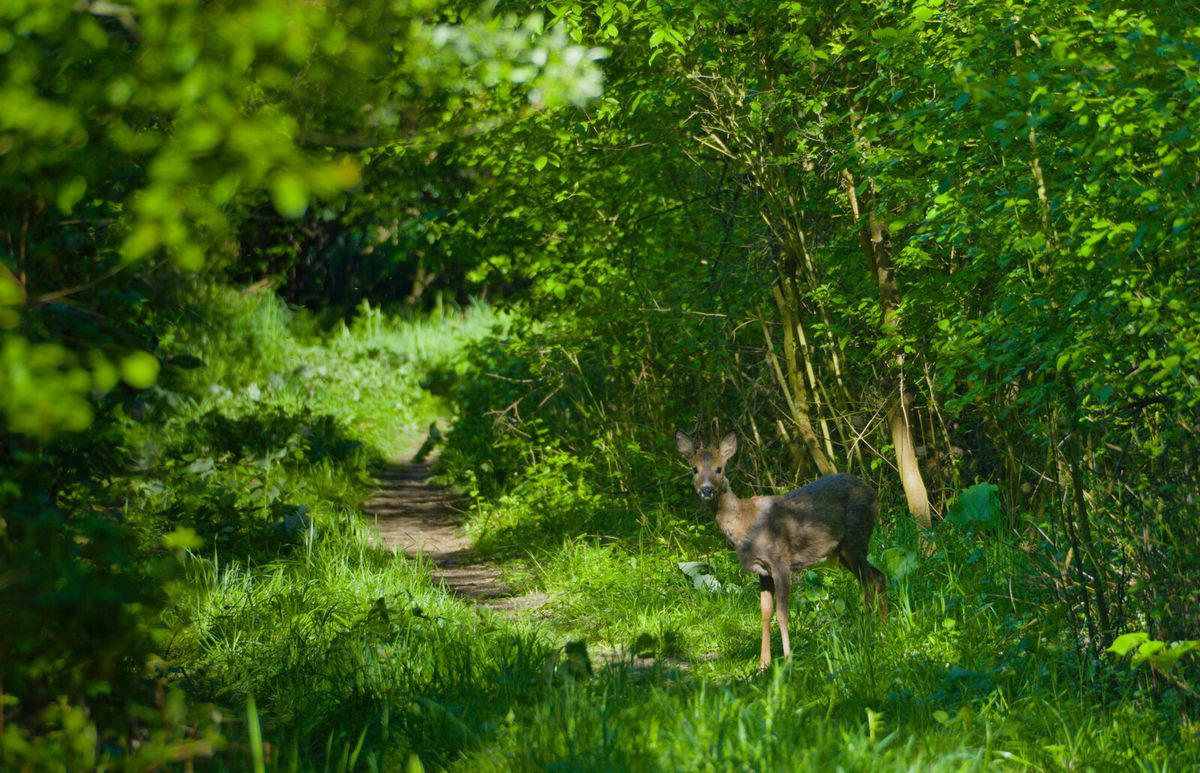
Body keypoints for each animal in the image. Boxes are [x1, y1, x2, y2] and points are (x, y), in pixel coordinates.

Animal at [675, 429, 887, 669]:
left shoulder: (781, 562)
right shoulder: (763, 571)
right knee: (877, 577)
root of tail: (874, 494)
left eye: (719, 468)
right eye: (694, 469)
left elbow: (782, 612)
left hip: (856, 537)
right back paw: (879, 630)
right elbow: (765, 612)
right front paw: (763, 664)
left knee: (871, 581)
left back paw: (873, 632)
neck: (746, 524)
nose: (707, 490)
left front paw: (788, 660)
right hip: (843, 550)